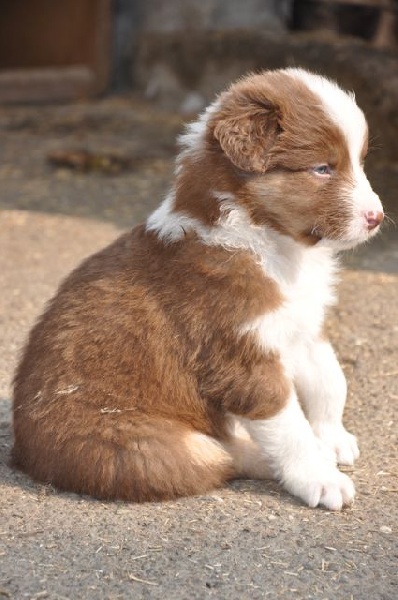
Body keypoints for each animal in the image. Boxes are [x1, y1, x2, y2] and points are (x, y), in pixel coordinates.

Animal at [12, 70, 384, 510]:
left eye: (359, 162)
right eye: (322, 168)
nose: (378, 217)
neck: (273, 244)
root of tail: (22, 451)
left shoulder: (303, 326)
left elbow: (330, 381)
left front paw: (334, 438)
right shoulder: (241, 357)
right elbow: (290, 426)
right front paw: (320, 478)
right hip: (145, 449)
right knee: (220, 455)